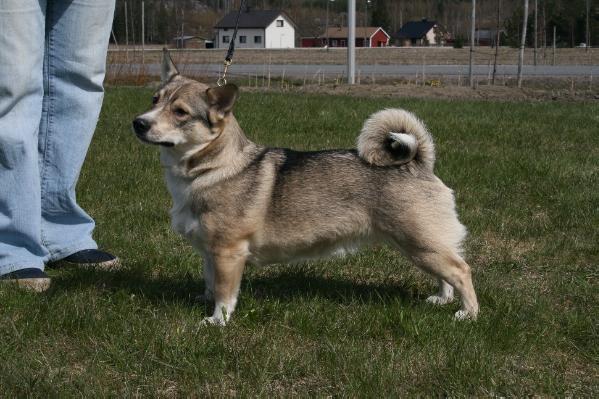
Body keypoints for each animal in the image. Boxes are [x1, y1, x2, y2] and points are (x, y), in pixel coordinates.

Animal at [131, 50, 478, 326]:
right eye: (154, 100)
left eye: (180, 112)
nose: (138, 122)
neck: (213, 168)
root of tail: (419, 161)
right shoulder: (210, 251)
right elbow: (210, 282)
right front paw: (205, 302)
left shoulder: (228, 253)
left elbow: (225, 293)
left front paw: (218, 321)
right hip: (423, 246)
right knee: (447, 274)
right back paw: (442, 299)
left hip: (420, 244)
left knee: (461, 271)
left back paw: (468, 314)